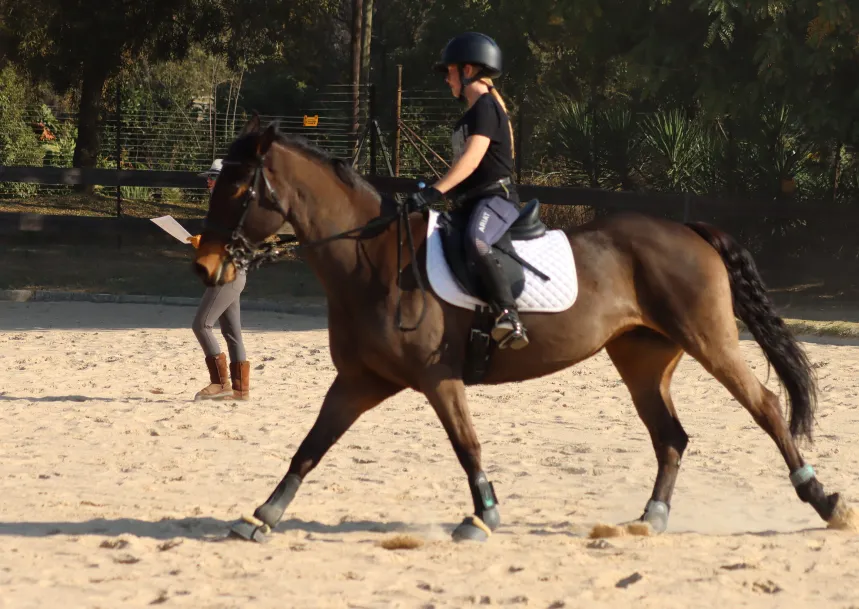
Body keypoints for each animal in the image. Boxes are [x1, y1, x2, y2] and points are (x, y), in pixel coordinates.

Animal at [193, 114, 853, 543]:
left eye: (239, 188)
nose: (205, 267)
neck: (371, 261)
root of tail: (688, 229)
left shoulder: (437, 378)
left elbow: (467, 445)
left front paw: (482, 516)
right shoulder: (359, 381)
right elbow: (311, 445)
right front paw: (263, 516)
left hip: (710, 340)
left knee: (765, 405)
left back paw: (823, 501)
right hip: (641, 358)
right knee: (671, 436)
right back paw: (652, 517)